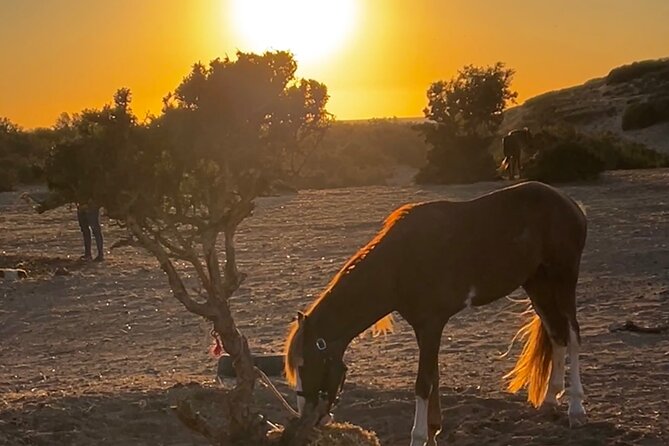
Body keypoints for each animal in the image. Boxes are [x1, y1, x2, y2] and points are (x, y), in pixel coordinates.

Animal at [284, 181, 588, 446]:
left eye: (305, 364)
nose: (306, 418)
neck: (400, 263)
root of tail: (569, 203)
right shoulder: (425, 329)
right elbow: (434, 379)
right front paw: (432, 432)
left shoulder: (431, 325)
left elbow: (423, 384)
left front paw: (418, 437)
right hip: (537, 284)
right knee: (557, 334)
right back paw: (550, 400)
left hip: (563, 279)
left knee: (572, 336)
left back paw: (576, 409)